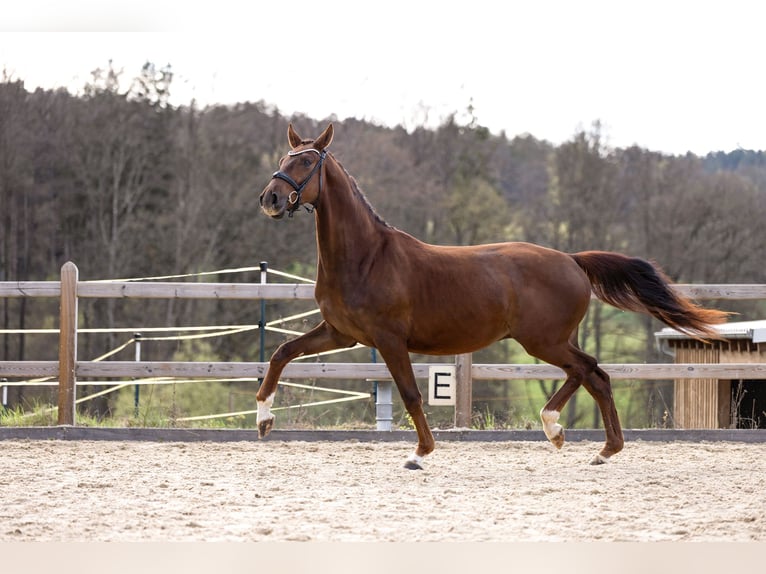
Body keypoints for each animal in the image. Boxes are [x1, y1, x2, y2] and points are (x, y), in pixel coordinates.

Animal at [257, 123, 729, 469]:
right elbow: (282, 353)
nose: (271, 198)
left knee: (589, 371)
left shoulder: (389, 340)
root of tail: (572, 260)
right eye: (281, 159)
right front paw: (264, 419)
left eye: (305, 161)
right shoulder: (341, 333)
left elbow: (410, 394)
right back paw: (590, 445)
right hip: (554, 340)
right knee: (593, 375)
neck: (366, 256)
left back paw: (572, 435)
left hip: (543, 341)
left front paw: (420, 453)